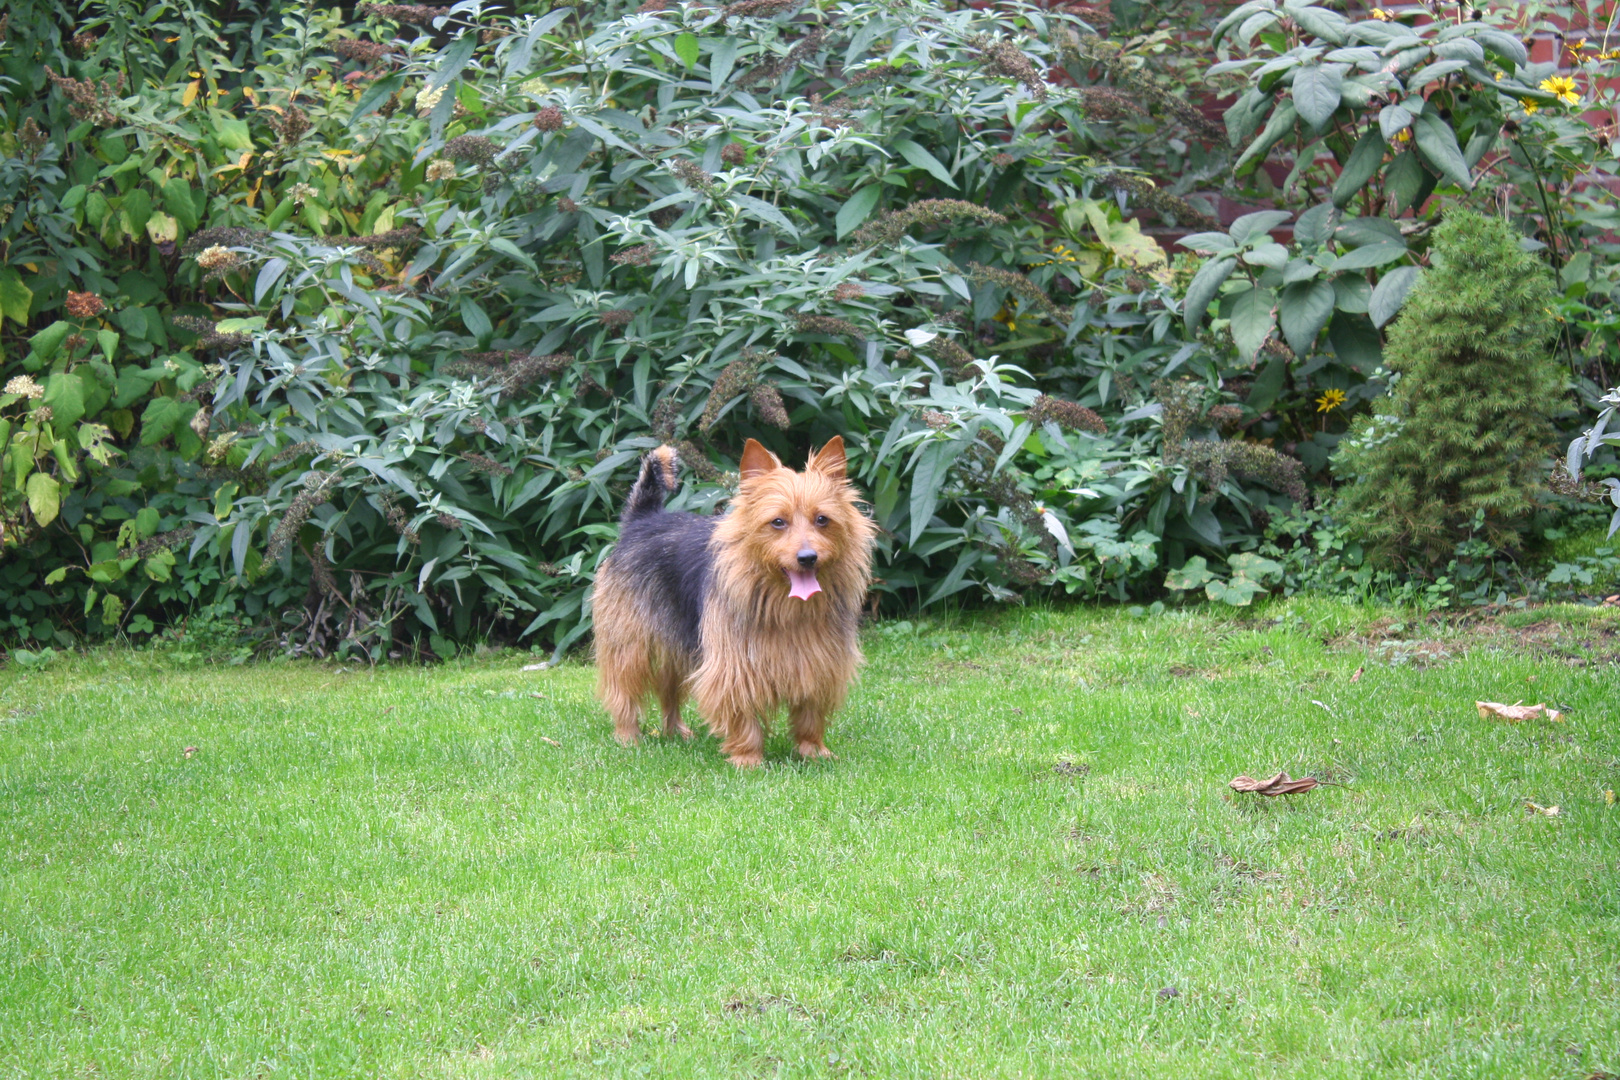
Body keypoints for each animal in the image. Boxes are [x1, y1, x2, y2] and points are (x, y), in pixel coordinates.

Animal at [592, 440, 874, 767]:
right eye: (778, 522)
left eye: (822, 520)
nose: (808, 557)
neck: (787, 606)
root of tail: (643, 519)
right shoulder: (735, 665)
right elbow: (742, 710)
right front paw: (747, 759)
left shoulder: (820, 660)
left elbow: (810, 713)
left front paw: (813, 751)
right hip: (630, 643)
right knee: (624, 689)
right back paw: (628, 736)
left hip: (676, 643)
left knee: (669, 690)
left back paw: (676, 732)